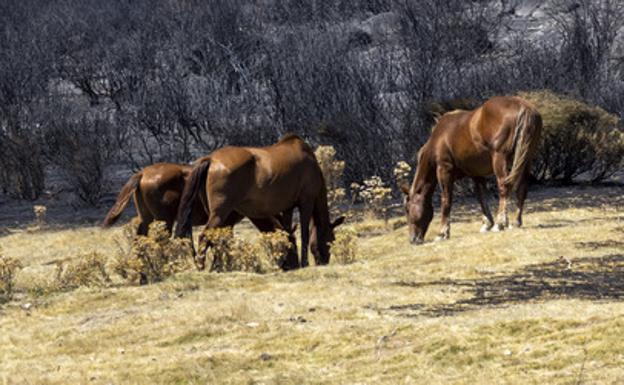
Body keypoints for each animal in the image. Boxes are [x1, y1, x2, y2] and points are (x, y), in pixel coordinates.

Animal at [173, 134, 344, 268]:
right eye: (332, 240)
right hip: (220, 213)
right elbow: (305, 234)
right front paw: (304, 263)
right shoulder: (306, 202)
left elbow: (287, 232)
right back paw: (201, 265)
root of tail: (211, 159)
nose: (324, 261)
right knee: (204, 236)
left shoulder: (287, 208)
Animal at [402, 94, 544, 242]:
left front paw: (442, 232)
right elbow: (481, 196)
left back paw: (500, 223)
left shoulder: (444, 170)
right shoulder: (476, 174)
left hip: (500, 158)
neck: (440, 137)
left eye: (407, 209)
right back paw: (516, 221)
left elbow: (446, 200)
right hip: (526, 159)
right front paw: (487, 223)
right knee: (522, 188)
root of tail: (523, 106)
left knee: (504, 186)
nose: (413, 239)